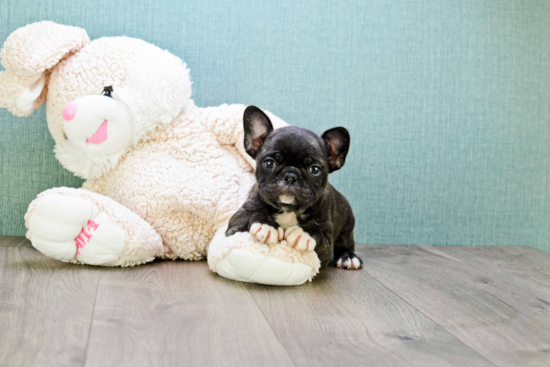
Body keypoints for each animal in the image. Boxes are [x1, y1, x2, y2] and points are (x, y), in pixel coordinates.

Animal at [226, 106, 364, 270]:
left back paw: (348, 257)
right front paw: (266, 225)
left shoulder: (326, 238)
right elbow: (251, 214)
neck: (288, 209)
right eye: (269, 163)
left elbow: (319, 233)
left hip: (347, 226)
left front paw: (303, 233)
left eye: (315, 170)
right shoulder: (238, 217)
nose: (290, 176)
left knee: (346, 244)